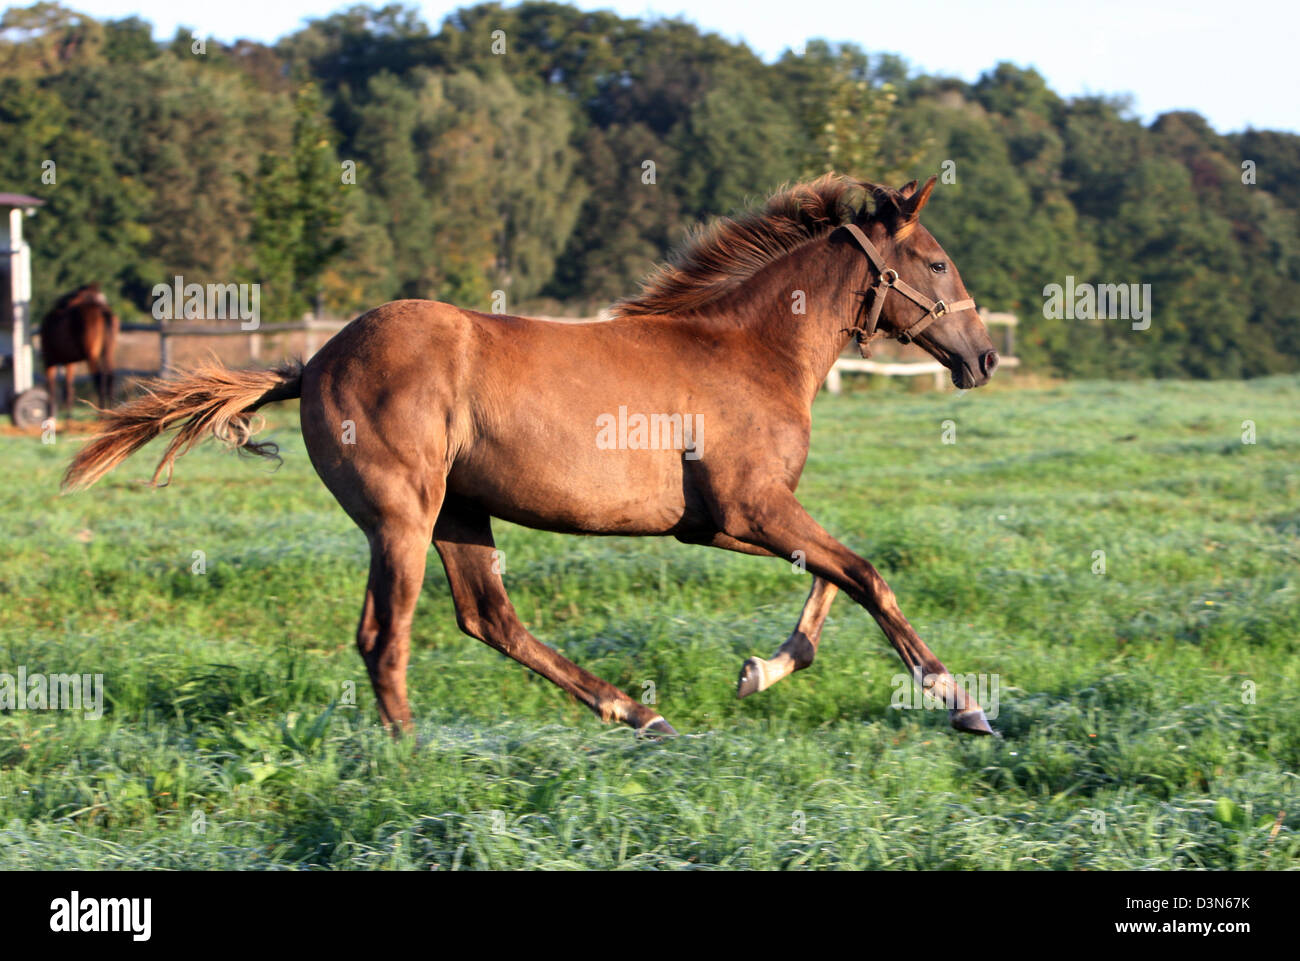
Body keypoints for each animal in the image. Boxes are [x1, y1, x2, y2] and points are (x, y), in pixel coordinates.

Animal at [41, 283, 119, 416]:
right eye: (101, 297)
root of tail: (102, 311)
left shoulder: (49, 361)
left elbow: (52, 389)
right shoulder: (69, 363)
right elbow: (68, 389)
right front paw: (68, 417)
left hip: (91, 356)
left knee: (99, 379)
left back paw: (101, 413)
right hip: (107, 354)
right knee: (110, 377)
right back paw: (111, 410)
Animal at [61, 174, 998, 738]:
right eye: (937, 261)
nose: (983, 357)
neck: (748, 348)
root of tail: (315, 361)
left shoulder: (726, 519)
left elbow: (832, 579)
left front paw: (760, 671)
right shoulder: (750, 506)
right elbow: (867, 573)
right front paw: (962, 703)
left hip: (458, 512)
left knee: (490, 619)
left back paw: (636, 715)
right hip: (402, 515)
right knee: (386, 634)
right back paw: (408, 756)